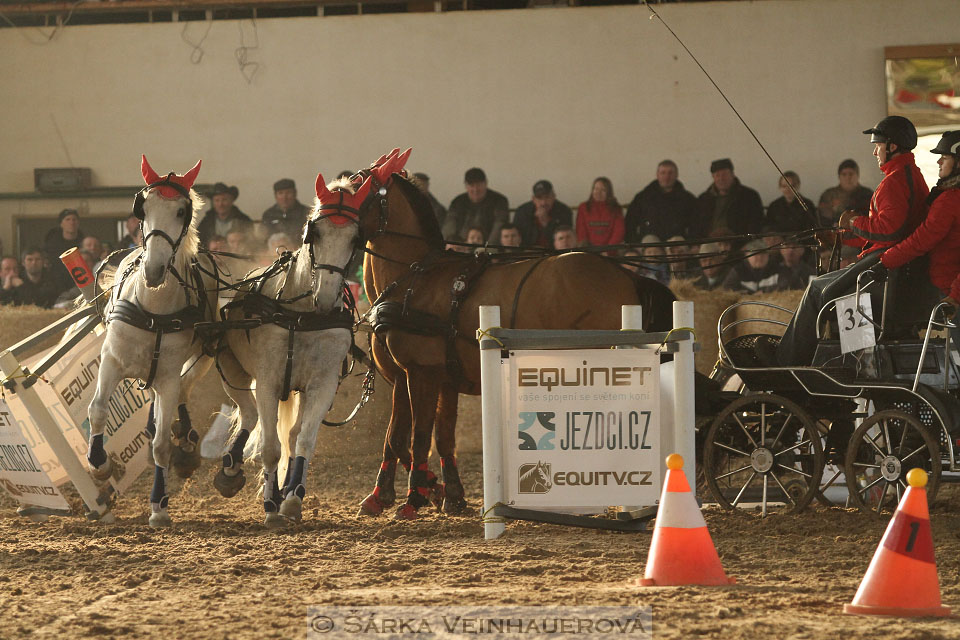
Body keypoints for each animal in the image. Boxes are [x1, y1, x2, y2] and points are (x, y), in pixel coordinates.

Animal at [88, 155, 218, 524]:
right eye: (143, 208)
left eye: (181, 211)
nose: (154, 270)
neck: (153, 308)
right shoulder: (112, 361)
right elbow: (98, 410)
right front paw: (100, 466)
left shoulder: (169, 377)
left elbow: (162, 444)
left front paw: (159, 505)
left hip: (203, 357)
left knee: (183, 392)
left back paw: (185, 441)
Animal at [214, 171, 368, 524]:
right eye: (314, 232)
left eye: (355, 239)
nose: (325, 297)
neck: (303, 315)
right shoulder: (268, 383)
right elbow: (270, 447)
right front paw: (271, 508)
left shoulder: (322, 385)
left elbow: (305, 441)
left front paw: (293, 497)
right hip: (234, 371)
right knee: (249, 415)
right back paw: (232, 470)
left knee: (291, 434)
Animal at [352, 150, 676, 520]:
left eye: (355, 188)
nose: (319, 220)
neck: (415, 277)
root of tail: (625, 274)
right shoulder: (436, 378)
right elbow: (429, 436)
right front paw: (440, 494)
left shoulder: (419, 373)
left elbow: (415, 436)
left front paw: (414, 498)